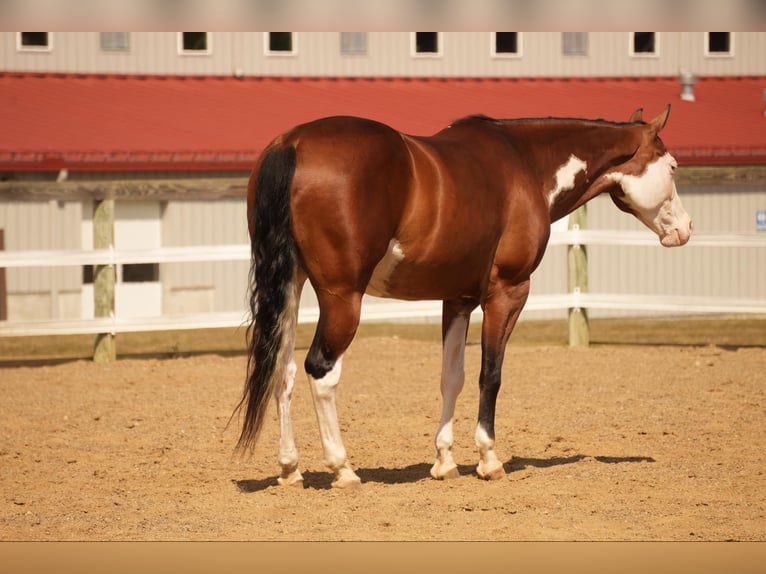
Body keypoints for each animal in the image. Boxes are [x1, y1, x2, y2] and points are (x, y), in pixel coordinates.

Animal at [236, 104, 696, 490]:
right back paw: (342, 468)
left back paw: (290, 469)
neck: (525, 165)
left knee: (282, 370)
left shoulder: (457, 299)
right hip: (342, 297)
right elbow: (490, 374)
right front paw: (489, 459)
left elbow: (451, 377)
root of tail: (293, 143)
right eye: (673, 166)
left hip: (292, 286)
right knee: (321, 370)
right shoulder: (507, 292)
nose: (685, 229)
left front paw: (444, 461)